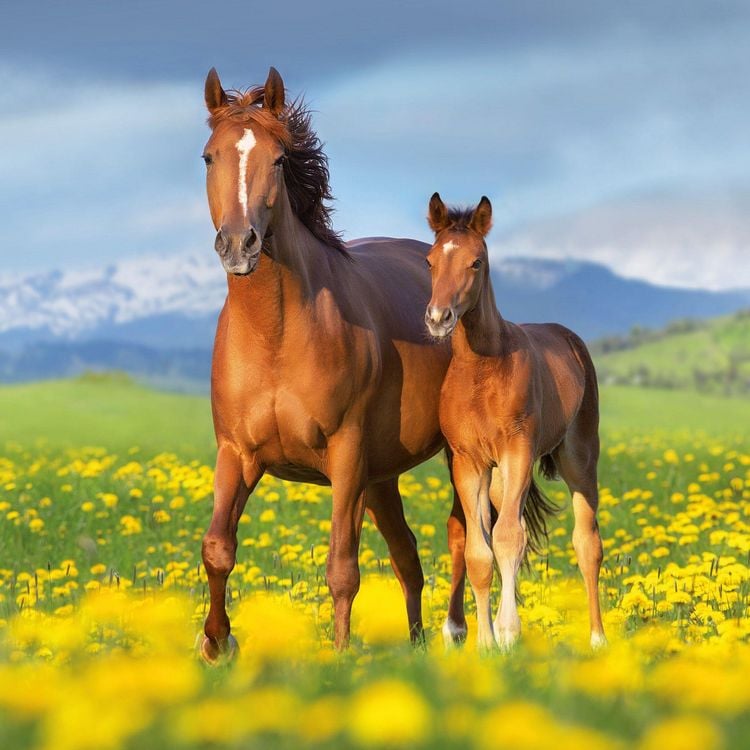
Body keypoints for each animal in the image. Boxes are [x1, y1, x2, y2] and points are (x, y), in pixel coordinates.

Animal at [198, 67, 469, 660]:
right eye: (209, 157)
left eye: (279, 159)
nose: (239, 244)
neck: (275, 335)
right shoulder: (236, 453)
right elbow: (218, 548)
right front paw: (216, 643)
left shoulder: (345, 457)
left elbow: (342, 567)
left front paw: (340, 658)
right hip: (382, 477)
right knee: (408, 558)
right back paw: (417, 644)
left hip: (452, 458)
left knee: (467, 536)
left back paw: (461, 634)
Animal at [423, 193, 606, 650]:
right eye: (430, 261)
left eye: (476, 262)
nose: (438, 317)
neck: (481, 371)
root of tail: (569, 338)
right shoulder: (469, 463)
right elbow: (479, 551)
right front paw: (485, 643)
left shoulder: (517, 452)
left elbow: (508, 539)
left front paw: (508, 635)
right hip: (502, 480)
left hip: (578, 460)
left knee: (587, 544)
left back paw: (598, 638)